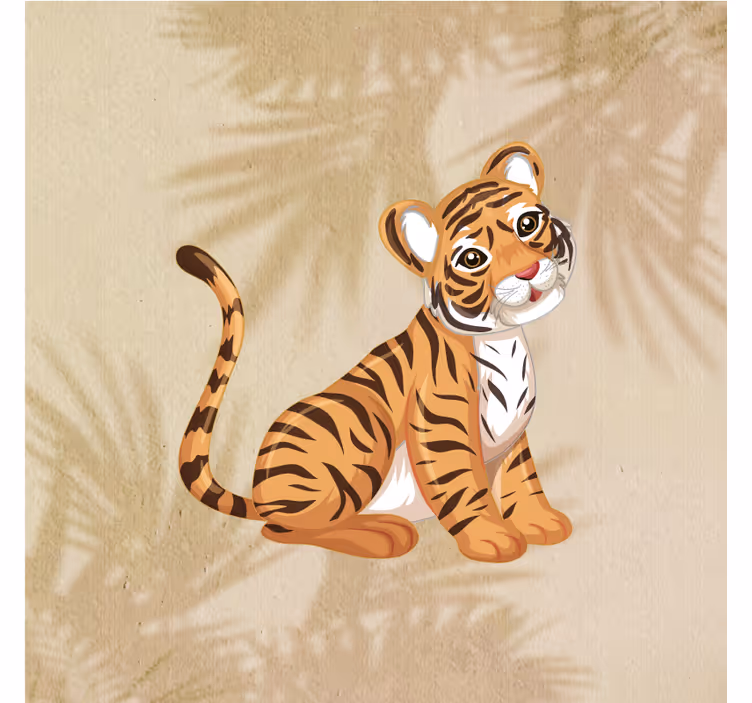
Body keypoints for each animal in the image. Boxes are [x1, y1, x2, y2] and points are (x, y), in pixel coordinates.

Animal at [176, 141, 576, 563]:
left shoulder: (514, 432)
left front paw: (542, 522)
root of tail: (260, 490)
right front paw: (492, 539)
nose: (528, 271)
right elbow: (464, 487)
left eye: (528, 224)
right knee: (284, 528)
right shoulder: (442, 425)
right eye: (472, 259)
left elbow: (522, 478)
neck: (504, 338)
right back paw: (384, 534)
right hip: (366, 422)